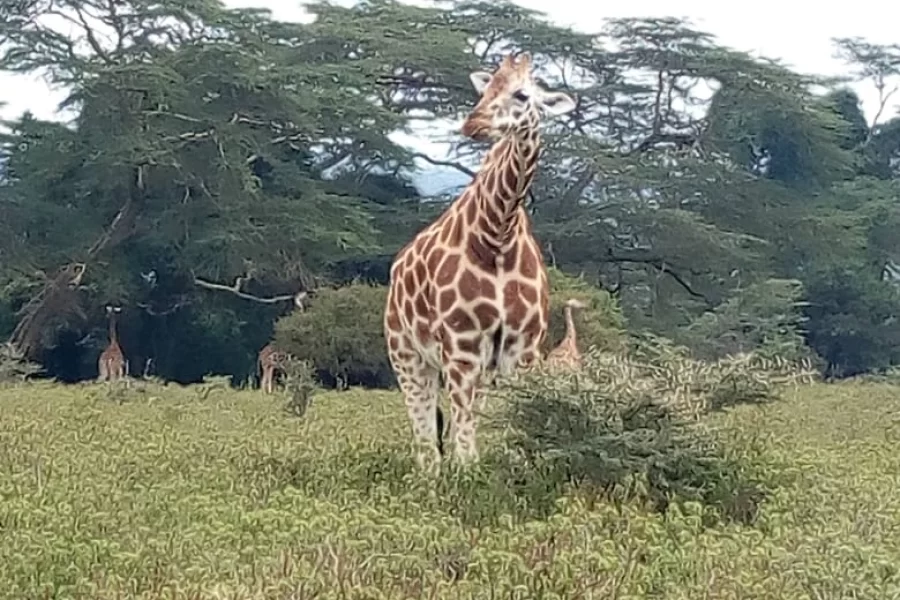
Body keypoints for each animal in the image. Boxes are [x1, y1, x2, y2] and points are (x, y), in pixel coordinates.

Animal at [384, 51, 572, 472]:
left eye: (522, 94)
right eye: (485, 90)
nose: (473, 124)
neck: (497, 237)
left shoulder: (522, 347)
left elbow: (513, 417)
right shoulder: (460, 342)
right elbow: (463, 430)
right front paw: (467, 478)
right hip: (407, 355)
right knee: (425, 432)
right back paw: (430, 476)